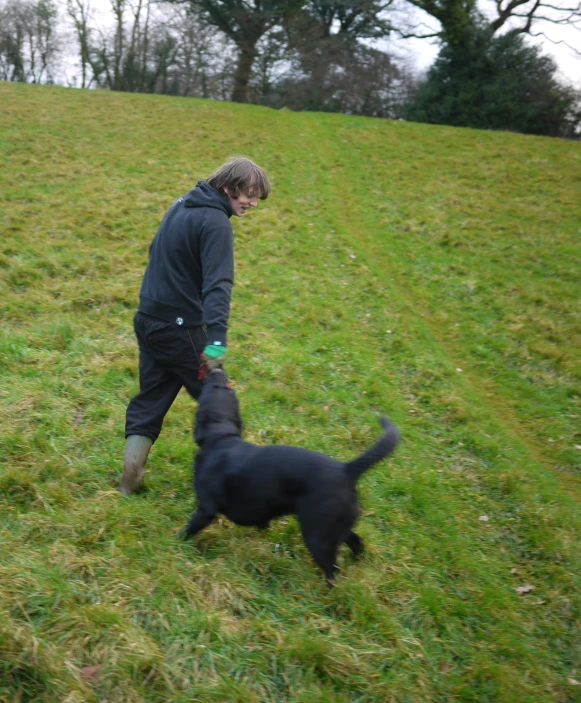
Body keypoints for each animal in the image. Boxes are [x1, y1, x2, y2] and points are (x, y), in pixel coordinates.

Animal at [181, 368, 398, 584]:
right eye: (226, 387)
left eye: (214, 387)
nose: (216, 369)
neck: (221, 438)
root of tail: (347, 470)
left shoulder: (206, 508)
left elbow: (188, 530)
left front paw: (177, 545)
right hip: (335, 528)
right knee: (356, 541)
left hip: (318, 536)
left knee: (333, 570)